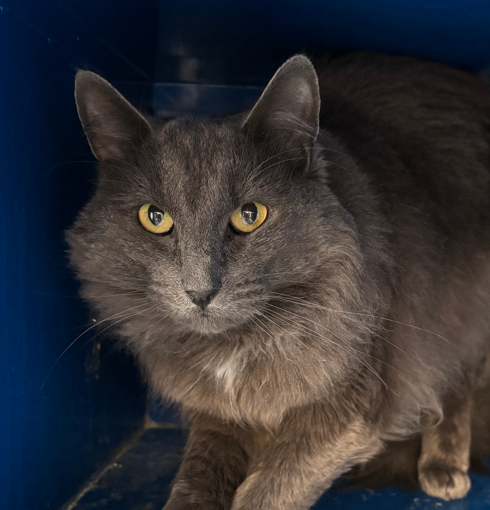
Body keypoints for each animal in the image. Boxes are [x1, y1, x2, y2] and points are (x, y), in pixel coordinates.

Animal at [67, 52, 490, 509]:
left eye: (250, 215)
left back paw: (444, 467)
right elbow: (196, 477)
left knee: (458, 377)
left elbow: (271, 488)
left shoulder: (347, 410)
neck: (234, 349)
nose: (199, 291)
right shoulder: (217, 414)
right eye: (155, 218)